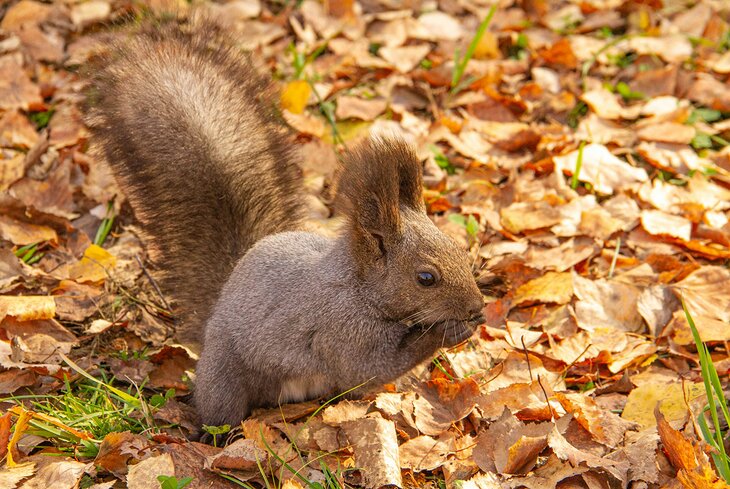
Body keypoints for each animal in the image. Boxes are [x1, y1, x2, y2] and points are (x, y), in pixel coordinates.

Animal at [85, 19, 484, 424]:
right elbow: (372, 367)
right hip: (224, 378)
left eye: (459, 249)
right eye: (426, 278)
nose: (477, 307)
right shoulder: (339, 329)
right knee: (219, 410)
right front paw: (450, 331)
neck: (358, 289)